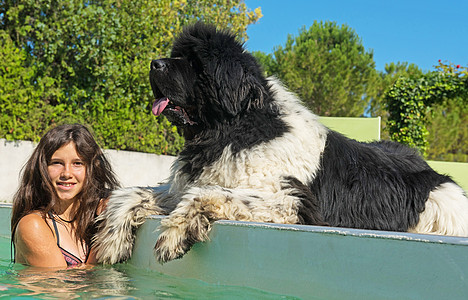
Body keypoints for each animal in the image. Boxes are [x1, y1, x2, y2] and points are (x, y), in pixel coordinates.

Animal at [93, 22, 468, 264]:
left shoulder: (291, 201)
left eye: (195, 63)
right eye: (176, 55)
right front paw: (111, 240)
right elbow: (131, 193)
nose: (154, 63)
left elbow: (204, 193)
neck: (235, 129)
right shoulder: (184, 182)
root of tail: (437, 176)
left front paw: (174, 232)